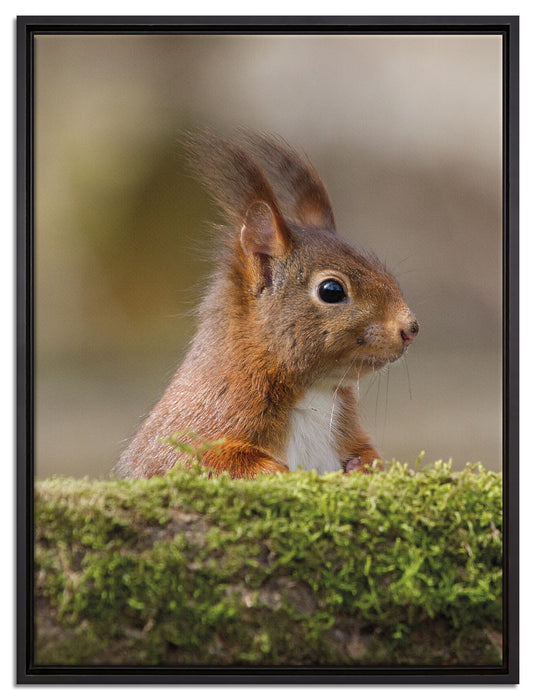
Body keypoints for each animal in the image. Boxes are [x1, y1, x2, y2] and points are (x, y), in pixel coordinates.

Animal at [116, 131, 418, 479]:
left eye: (384, 270)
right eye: (331, 290)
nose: (411, 328)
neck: (315, 393)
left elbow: (368, 454)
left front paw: (363, 467)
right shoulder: (202, 425)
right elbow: (208, 461)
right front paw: (279, 471)